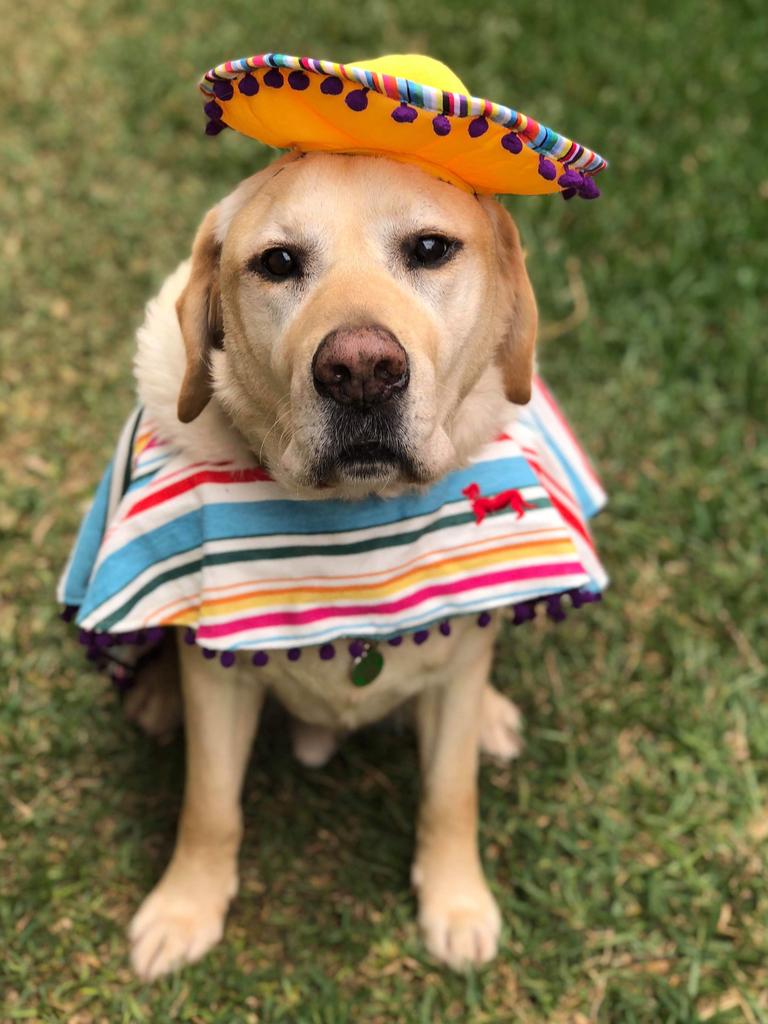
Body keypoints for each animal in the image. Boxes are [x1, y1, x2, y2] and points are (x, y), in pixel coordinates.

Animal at [123, 149, 536, 974]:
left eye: (430, 249)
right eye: (278, 263)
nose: (362, 370)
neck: (355, 519)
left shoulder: (457, 671)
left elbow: (451, 796)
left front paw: (456, 900)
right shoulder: (218, 679)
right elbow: (209, 806)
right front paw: (186, 907)